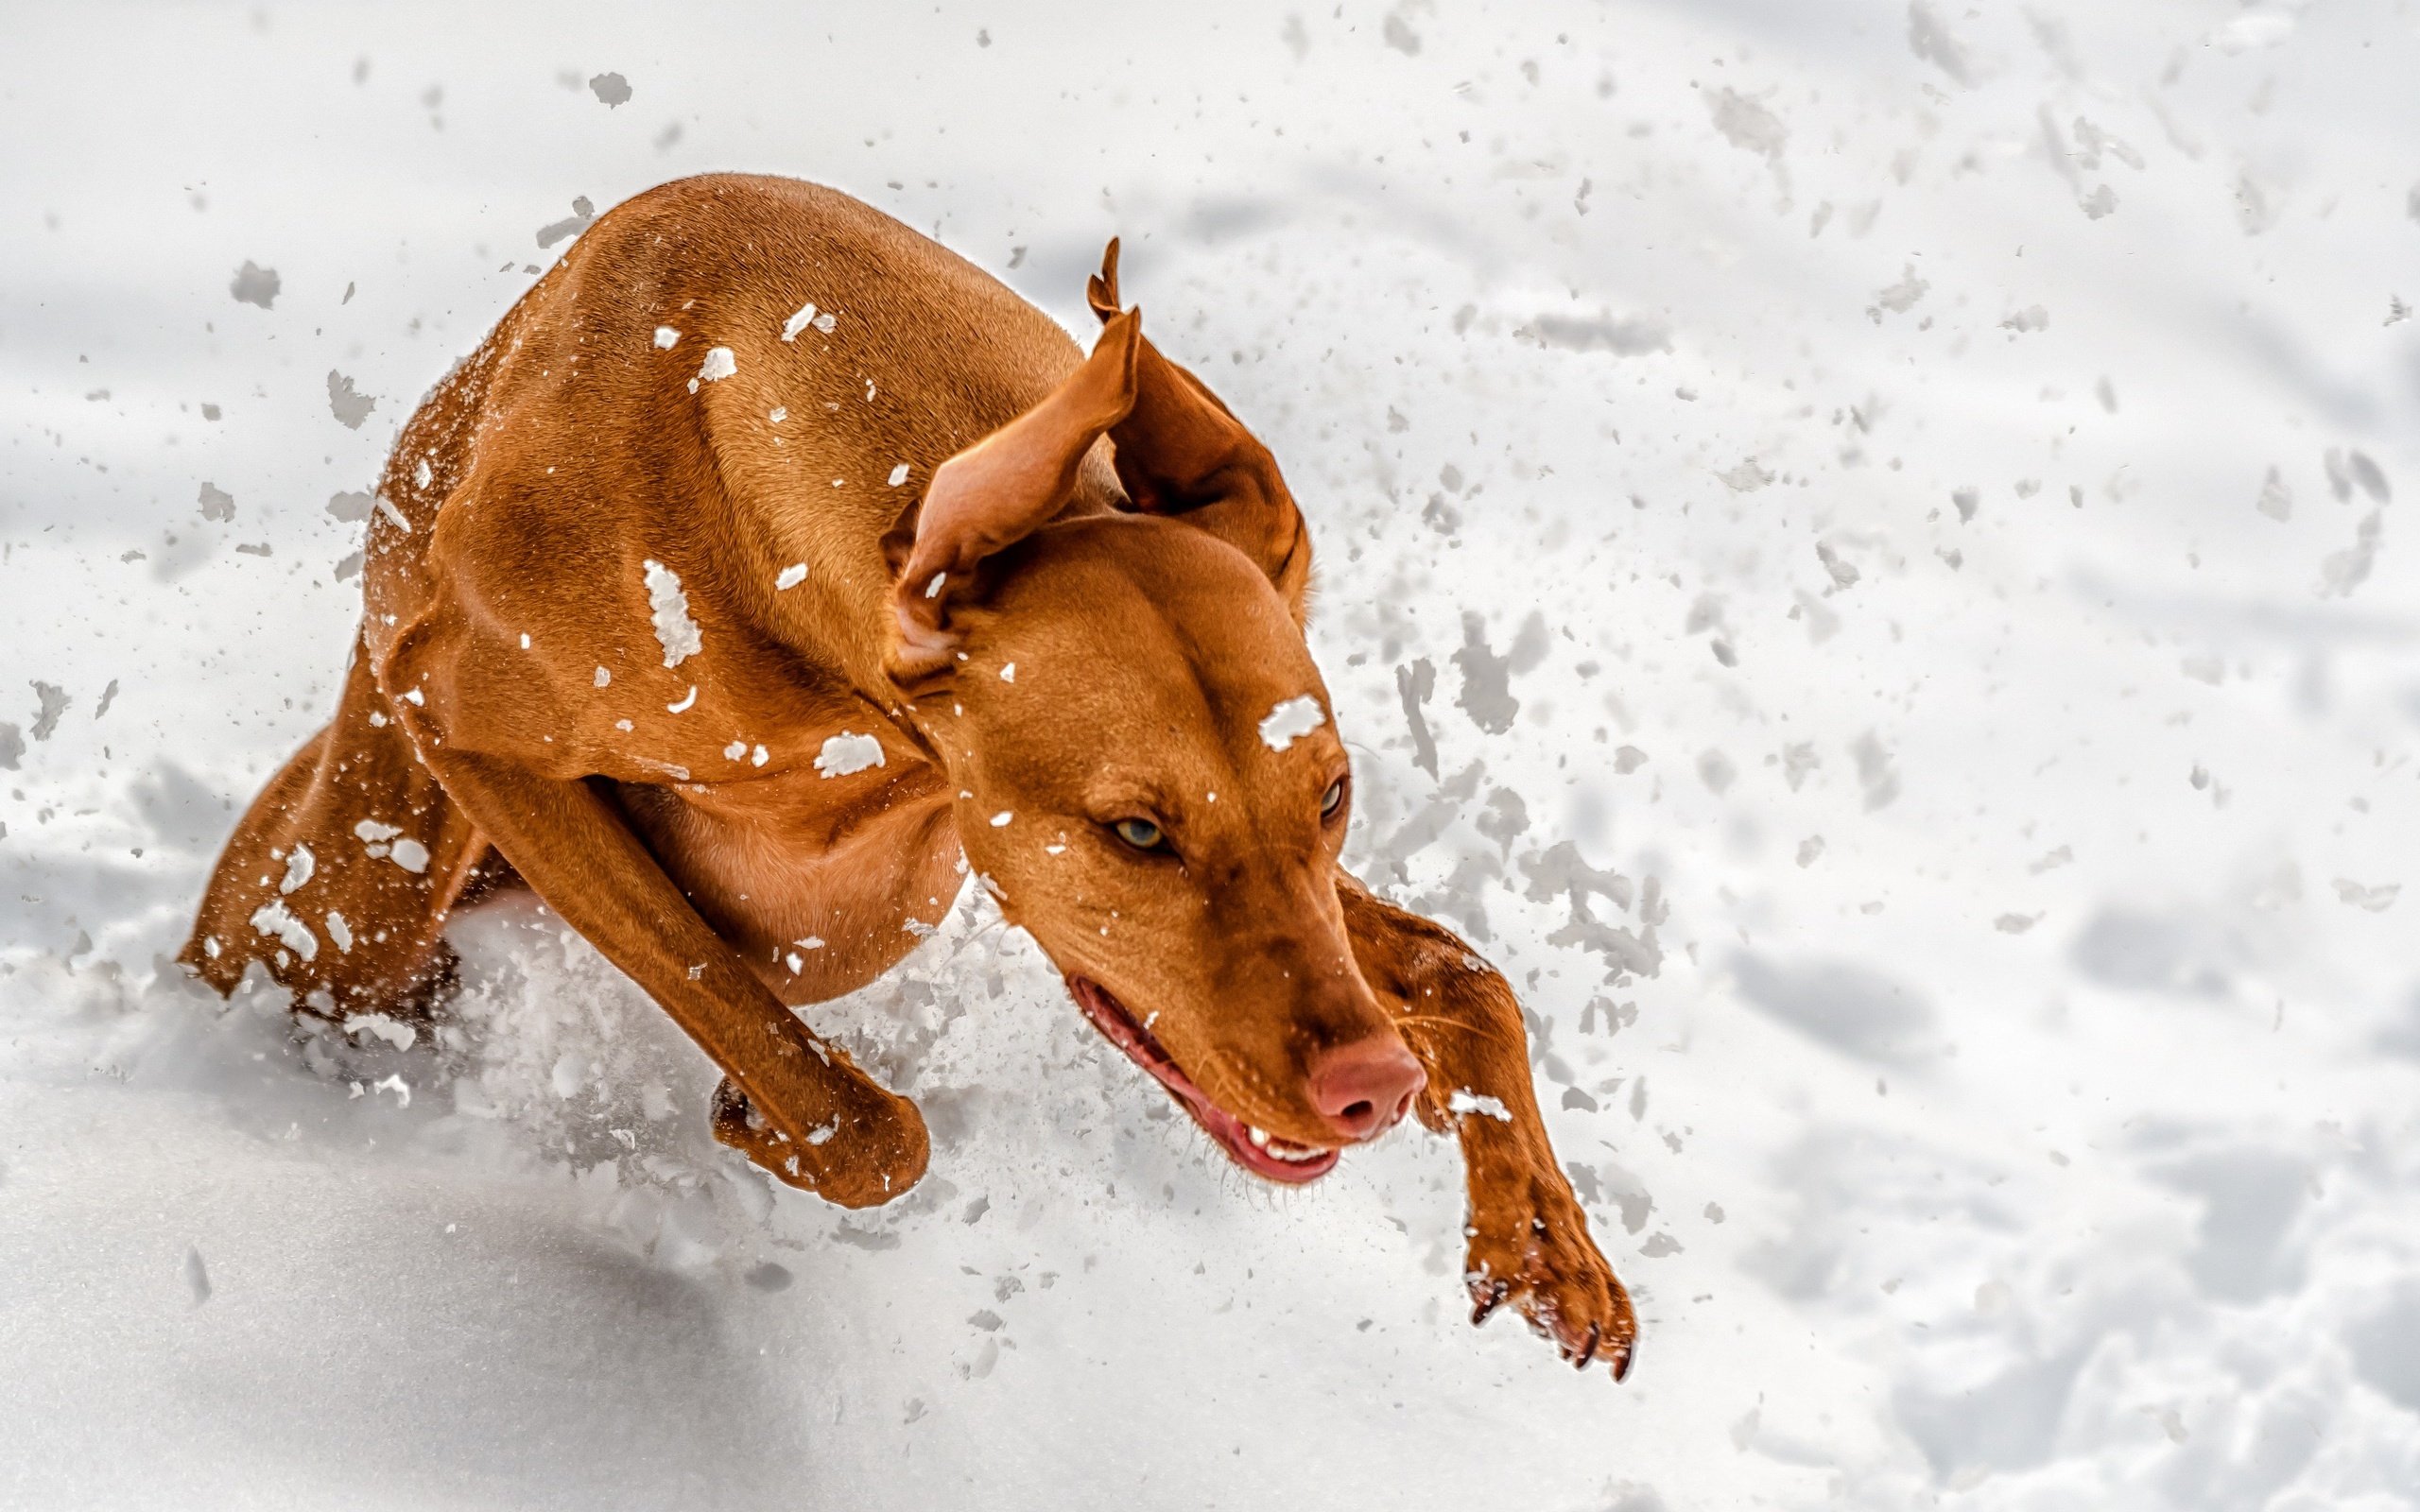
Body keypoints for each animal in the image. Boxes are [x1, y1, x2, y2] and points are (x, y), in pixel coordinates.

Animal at [179, 170, 1635, 1374]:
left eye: (1332, 795)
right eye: (1136, 833)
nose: (1371, 1088)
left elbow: (1462, 968)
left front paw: (1545, 1244)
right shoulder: (470, 731)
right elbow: (827, 1089)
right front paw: (770, 1117)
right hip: (347, 908)